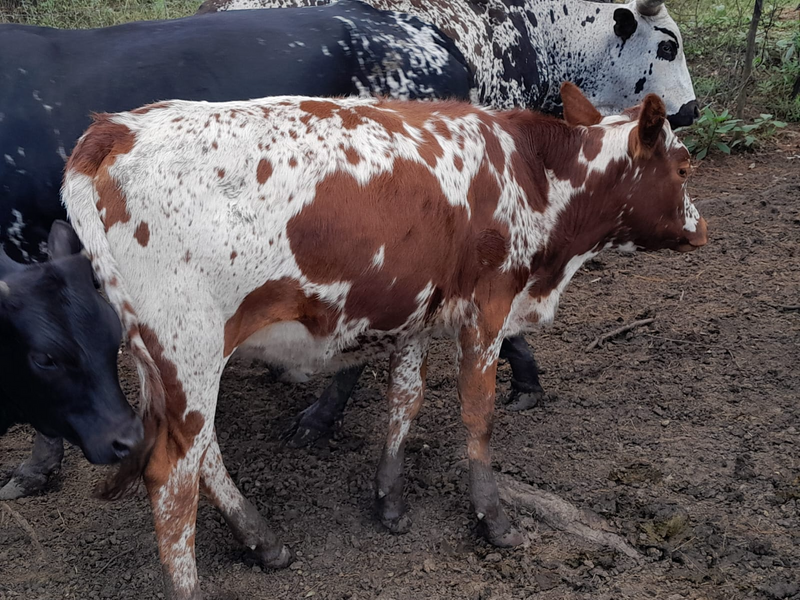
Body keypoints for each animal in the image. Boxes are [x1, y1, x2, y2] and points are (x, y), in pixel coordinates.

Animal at [64, 85, 708, 600]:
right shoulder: (488, 307)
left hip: (166, 359)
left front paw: (390, 499)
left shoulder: (419, 311)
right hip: (190, 345)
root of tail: (114, 127)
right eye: (683, 169)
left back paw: (262, 538)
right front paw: (492, 517)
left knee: (204, 455)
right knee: (173, 481)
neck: (531, 172)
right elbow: (478, 414)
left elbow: (406, 400)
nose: (702, 229)